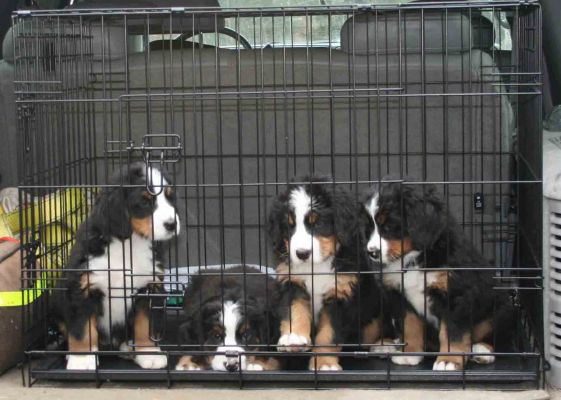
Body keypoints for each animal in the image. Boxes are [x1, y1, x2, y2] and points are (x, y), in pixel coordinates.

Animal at [56, 161, 180, 370]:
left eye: (170, 198)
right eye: (145, 201)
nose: (172, 224)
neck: (128, 245)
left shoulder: (149, 287)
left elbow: (145, 325)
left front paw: (149, 353)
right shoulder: (82, 288)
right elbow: (82, 329)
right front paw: (82, 359)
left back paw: (129, 347)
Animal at [268, 177, 384, 370]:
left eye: (318, 223)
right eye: (289, 226)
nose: (302, 253)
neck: (316, 267)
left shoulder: (341, 293)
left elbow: (328, 334)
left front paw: (324, 363)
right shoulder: (292, 283)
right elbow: (295, 311)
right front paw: (294, 338)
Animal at [364, 181, 512, 372]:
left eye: (389, 226)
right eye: (369, 228)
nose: (372, 252)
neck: (414, 257)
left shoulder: (455, 295)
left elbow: (452, 333)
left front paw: (449, 360)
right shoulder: (401, 298)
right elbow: (410, 327)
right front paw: (409, 354)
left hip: (501, 306)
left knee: (497, 336)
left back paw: (481, 350)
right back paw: (388, 344)